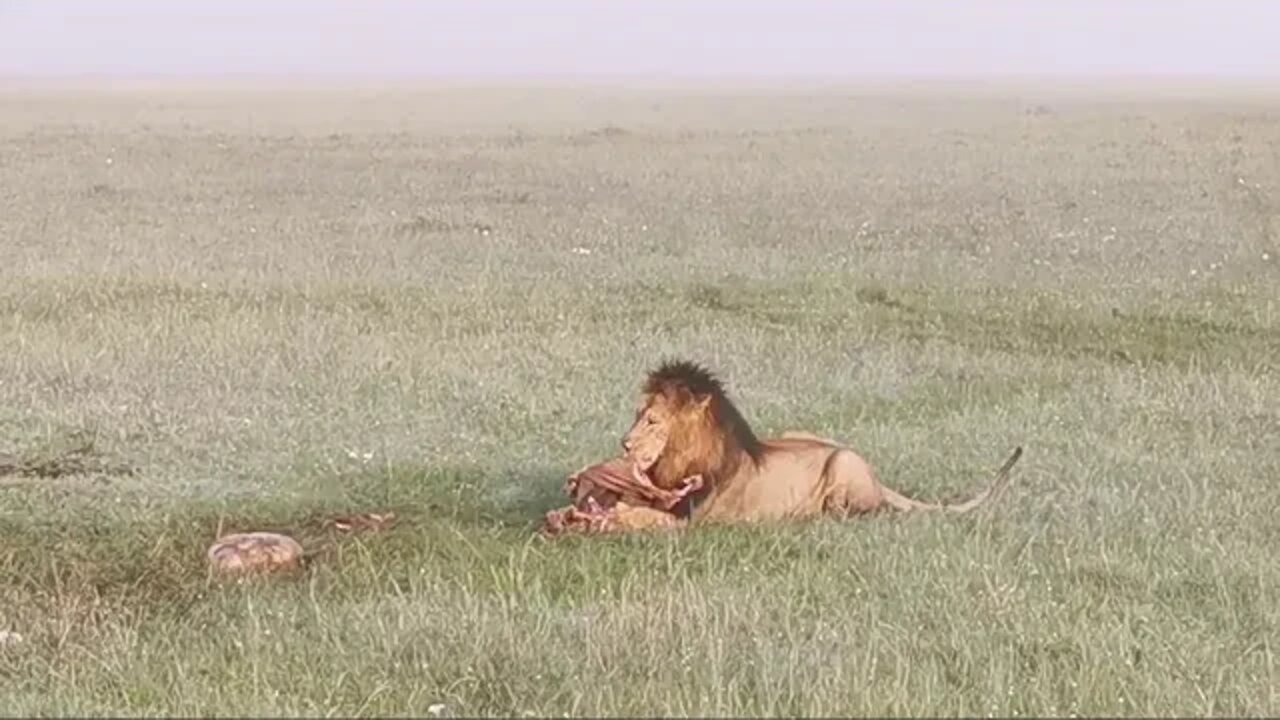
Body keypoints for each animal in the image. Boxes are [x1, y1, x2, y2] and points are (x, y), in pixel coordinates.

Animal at [611, 356, 1029, 525]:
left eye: (652, 420)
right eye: (637, 414)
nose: (625, 444)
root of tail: (879, 479)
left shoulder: (701, 518)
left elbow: (647, 515)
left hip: (843, 463)